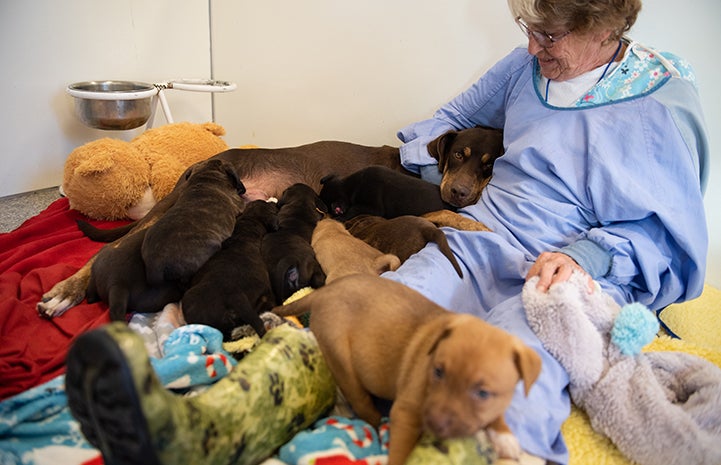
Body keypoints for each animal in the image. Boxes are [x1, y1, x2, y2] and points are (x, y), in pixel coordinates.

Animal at [272, 274, 536, 462]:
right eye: (438, 372)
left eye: (483, 393)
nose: (435, 423)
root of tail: (323, 293)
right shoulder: (406, 412)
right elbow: (399, 452)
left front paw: (504, 435)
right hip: (342, 363)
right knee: (363, 405)